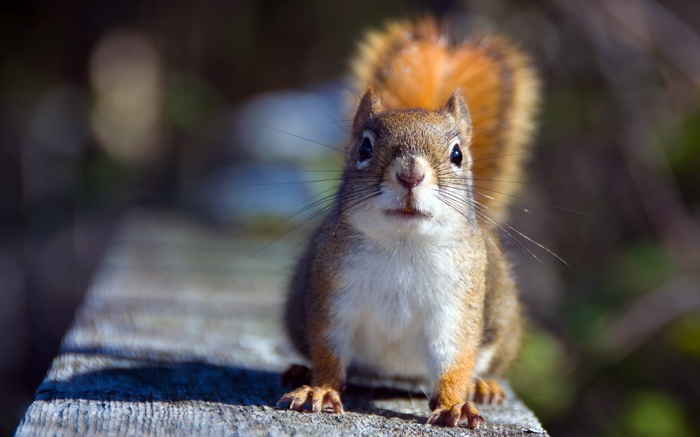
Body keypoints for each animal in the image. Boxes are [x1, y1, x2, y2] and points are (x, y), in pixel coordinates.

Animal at [277, 16, 540, 428]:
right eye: (365, 147)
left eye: (457, 154)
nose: (410, 174)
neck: (404, 244)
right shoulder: (333, 296)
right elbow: (328, 350)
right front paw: (319, 389)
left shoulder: (456, 309)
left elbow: (455, 359)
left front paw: (454, 404)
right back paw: (301, 371)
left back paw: (483, 386)